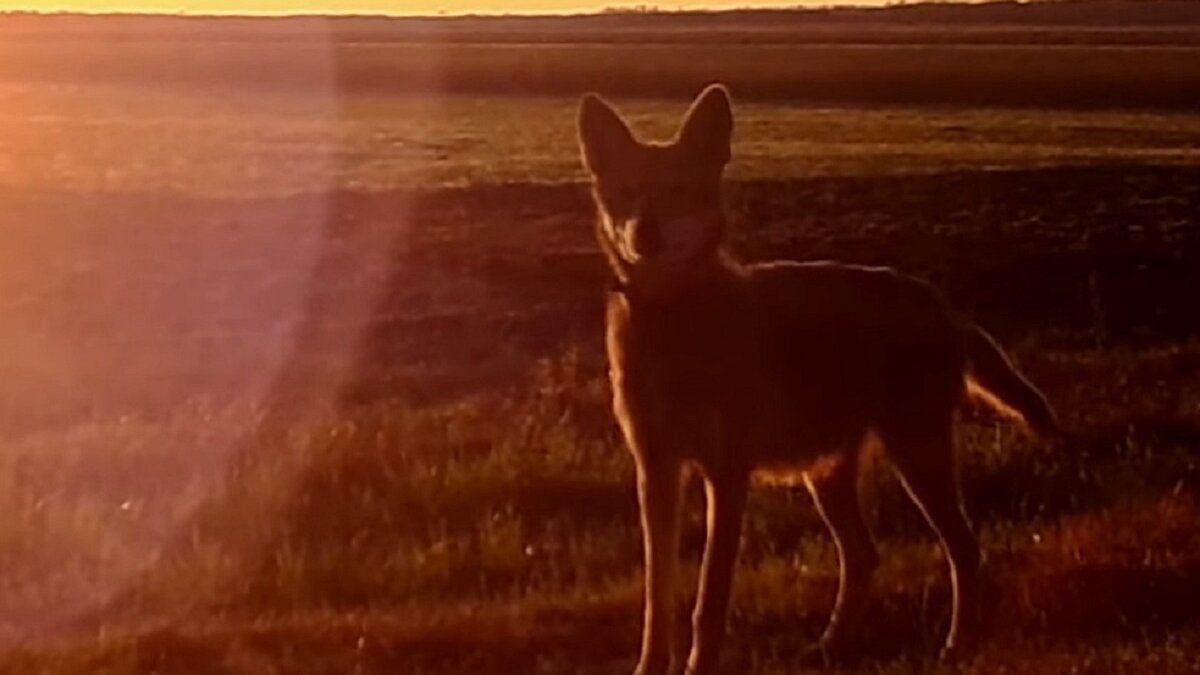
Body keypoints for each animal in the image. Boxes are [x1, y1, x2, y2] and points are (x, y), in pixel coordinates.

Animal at [576, 84, 1058, 675]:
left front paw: (700, 665)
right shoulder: (657, 471)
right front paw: (651, 667)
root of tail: (942, 304)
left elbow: (710, 599)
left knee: (965, 549)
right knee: (866, 555)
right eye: (627, 193)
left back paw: (956, 645)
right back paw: (830, 646)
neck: (675, 327)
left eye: (679, 191)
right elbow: (658, 600)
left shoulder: (726, 474)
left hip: (915, 458)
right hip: (828, 477)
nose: (645, 233)